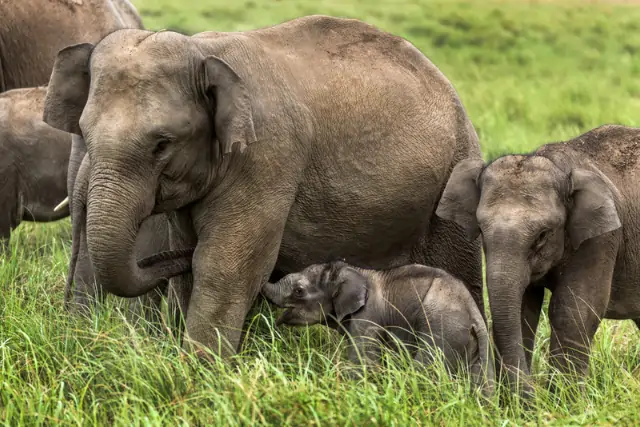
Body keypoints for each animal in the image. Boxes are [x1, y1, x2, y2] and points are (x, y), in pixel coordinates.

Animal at [41, 15, 484, 358]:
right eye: (83, 131)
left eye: (162, 144)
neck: (204, 52)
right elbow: (194, 261)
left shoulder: (266, 155)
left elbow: (223, 264)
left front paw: (202, 374)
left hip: (449, 186)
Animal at [262, 261, 495, 397]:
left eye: (299, 291)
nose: (262, 284)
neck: (353, 272)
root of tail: (474, 313)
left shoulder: (367, 315)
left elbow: (363, 360)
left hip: (443, 328)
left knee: (423, 370)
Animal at [435, 124, 640, 396]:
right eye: (480, 229)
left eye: (542, 235)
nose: (532, 395)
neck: (558, 165)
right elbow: (524, 310)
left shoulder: (601, 237)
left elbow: (573, 311)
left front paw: (564, 401)